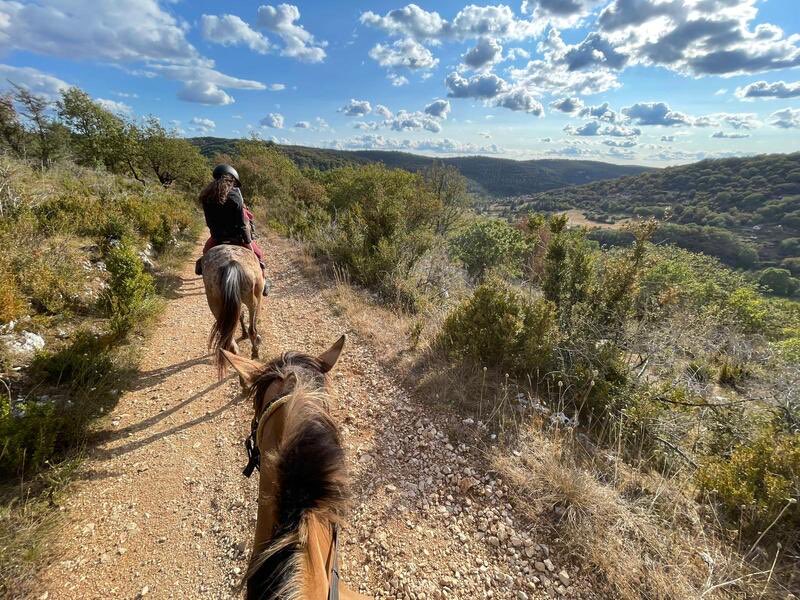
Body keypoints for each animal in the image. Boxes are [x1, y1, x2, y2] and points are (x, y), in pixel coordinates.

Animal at [202, 244, 265, 377]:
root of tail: (231, 263)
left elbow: (239, 315)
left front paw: (243, 333)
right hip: (254, 299)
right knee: (252, 330)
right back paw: (255, 353)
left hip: (214, 302)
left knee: (228, 336)